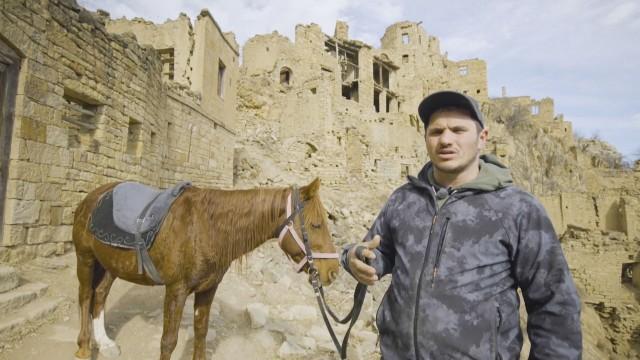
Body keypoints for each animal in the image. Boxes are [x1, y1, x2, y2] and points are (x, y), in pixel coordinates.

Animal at [71, 179, 340, 360]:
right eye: (316, 225)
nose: (334, 271)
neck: (205, 228)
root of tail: (93, 196)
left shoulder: (208, 289)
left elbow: (201, 332)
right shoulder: (176, 290)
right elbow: (168, 341)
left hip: (110, 264)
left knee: (100, 295)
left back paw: (105, 344)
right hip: (85, 259)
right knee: (85, 297)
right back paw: (84, 347)